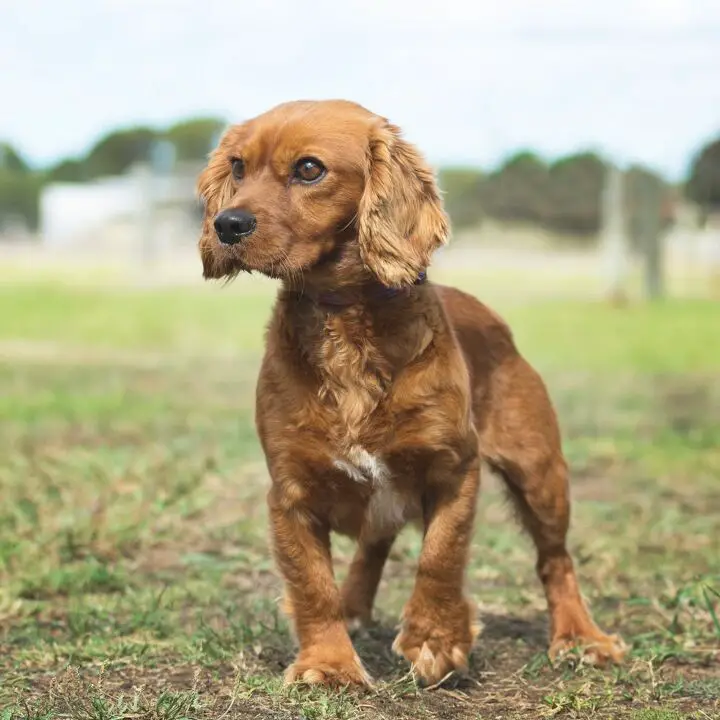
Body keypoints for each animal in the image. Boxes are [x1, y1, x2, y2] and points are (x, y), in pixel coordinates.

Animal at [195, 98, 624, 684]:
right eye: (237, 166)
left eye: (309, 169)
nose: (227, 223)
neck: (346, 325)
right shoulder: (290, 492)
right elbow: (312, 585)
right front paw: (330, 664)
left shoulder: (454, 469)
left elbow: (440, 558)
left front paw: (435, 640)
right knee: (373, 546)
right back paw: (355, 608)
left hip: (541, 474)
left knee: (555, 560)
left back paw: (581, 637)